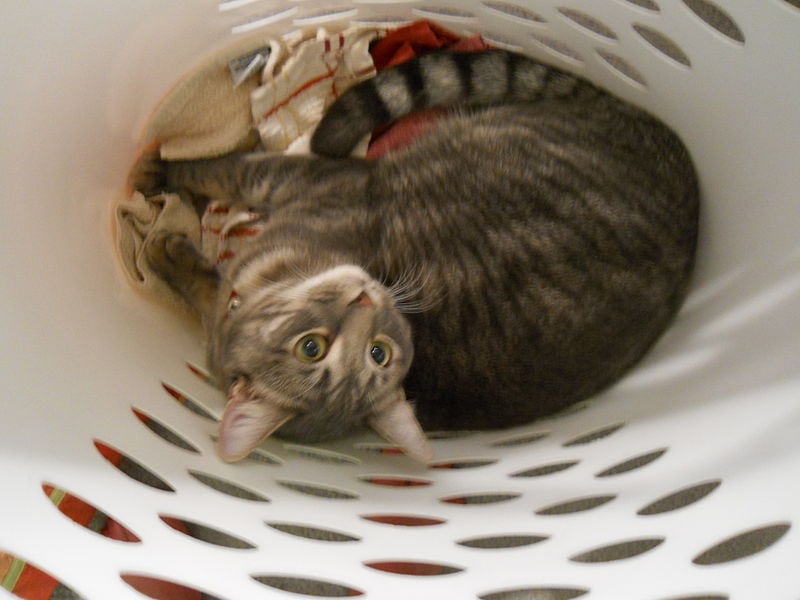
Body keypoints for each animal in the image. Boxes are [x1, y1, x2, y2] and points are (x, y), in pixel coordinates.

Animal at [144, 49, 700, 464]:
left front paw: (163, 186)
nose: (364, 299)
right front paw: (172, 249)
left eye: (378, 354)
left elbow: (224, 168)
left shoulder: (306, 179)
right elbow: (206, 284)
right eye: (312, 348)